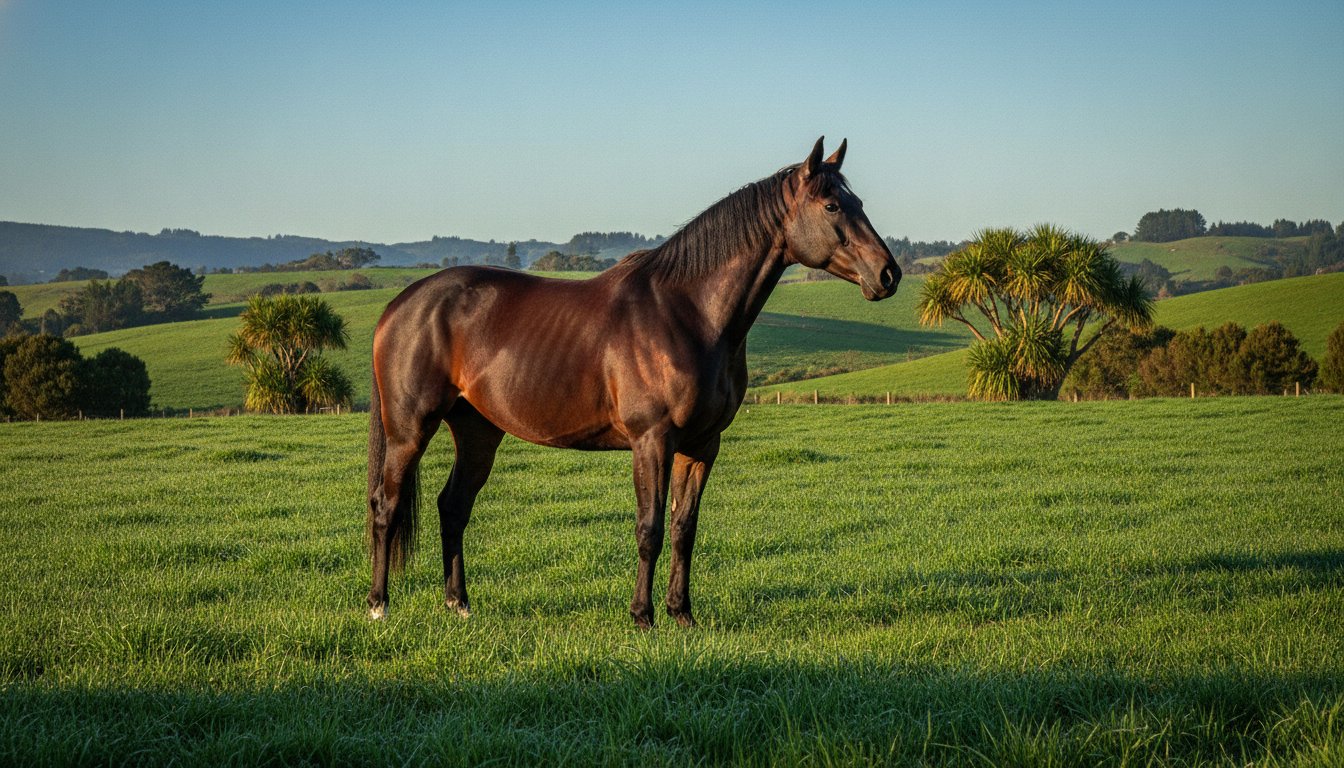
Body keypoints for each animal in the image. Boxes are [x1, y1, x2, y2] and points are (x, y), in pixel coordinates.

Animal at [366, 137, 900, 628]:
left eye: (857, 202)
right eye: (832, 205)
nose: (888, 274)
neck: (688, 313)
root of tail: (399, 306)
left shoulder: (701, 446)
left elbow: (684, 529)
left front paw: (682, 615)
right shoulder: (652, 441)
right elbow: (650, 529)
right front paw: (643, 617)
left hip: (477, 430)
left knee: (453, 507)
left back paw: (458, 604)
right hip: (409, 431)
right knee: (385, 506)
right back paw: (378, 606)